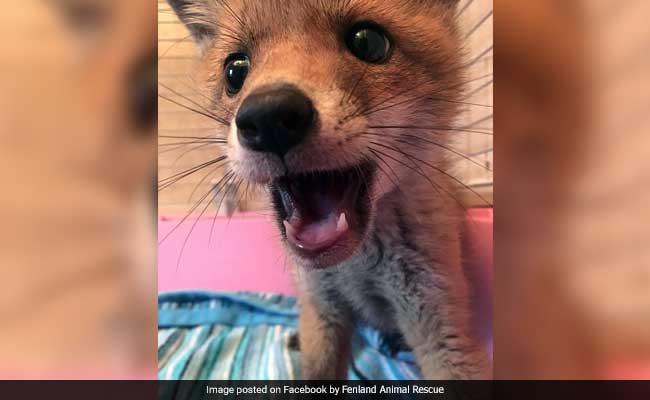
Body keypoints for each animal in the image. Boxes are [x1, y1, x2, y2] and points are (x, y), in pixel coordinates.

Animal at [166, 0, 491, 379]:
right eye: (235, 71)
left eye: (369, 42)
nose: (268, 118)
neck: (358, 269)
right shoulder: (322, 308)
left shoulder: (440, 323)